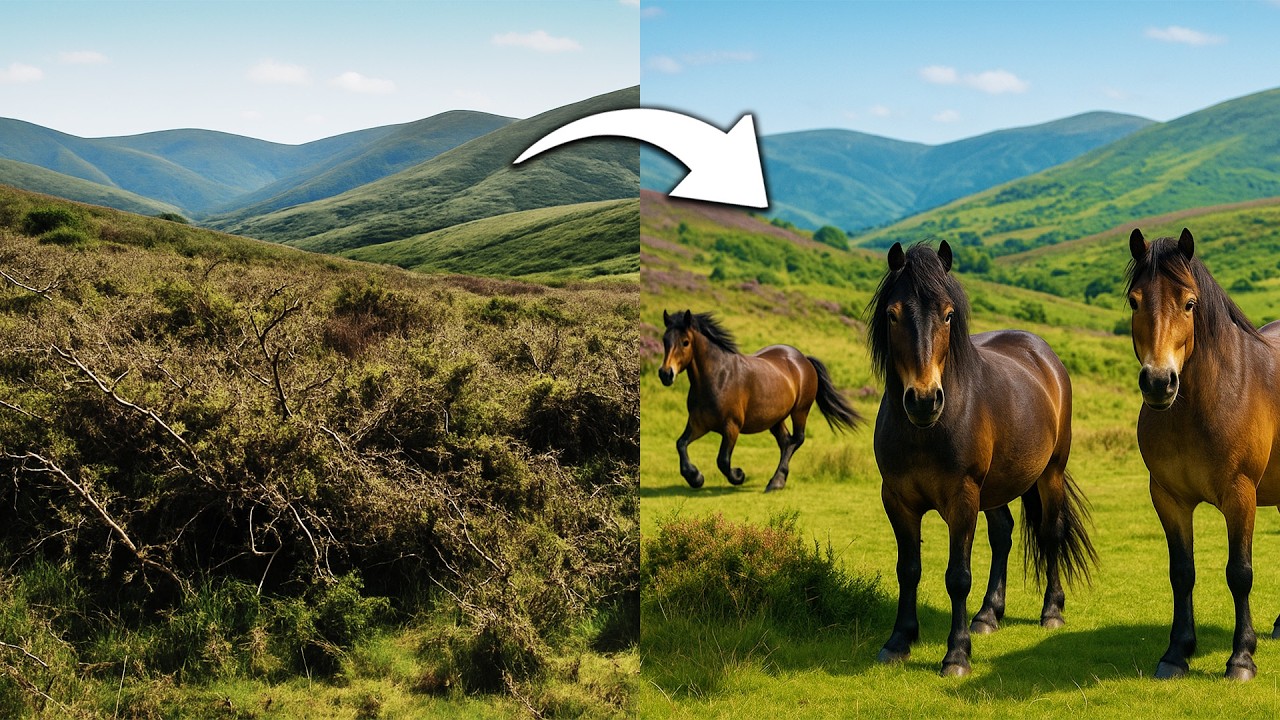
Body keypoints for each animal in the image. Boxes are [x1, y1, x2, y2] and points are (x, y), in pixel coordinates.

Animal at [658, 309, 862, 492]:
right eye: (665, 340)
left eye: (685, 342)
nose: (665, 374)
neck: (718, 378)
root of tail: (804, 359)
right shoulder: (699, 424)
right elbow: (681, 444)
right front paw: (696, 478)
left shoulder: (731, 427)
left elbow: (723, 460)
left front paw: (738, 475)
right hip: (776, 418)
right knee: (786, 442)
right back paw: (778, 480)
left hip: (800, 411)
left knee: (797, 440)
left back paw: (775, 482)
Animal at [868, 241, 1096, 677]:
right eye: (892, 314)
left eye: (948, 314)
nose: (924, 400)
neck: (926, 431)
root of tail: (1042, 353)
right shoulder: (897, 500)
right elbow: (908, 569)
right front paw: (899, 640)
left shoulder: (963, 499)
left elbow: (958, 576)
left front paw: (957, 654)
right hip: (996, 488)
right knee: (1003, 534)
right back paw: (989, 614)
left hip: (1050, 474)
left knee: (1051, 533)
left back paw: (1051, 611)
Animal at [1126, 228, 1280, 681]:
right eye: (1134, 301)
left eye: (1189, 304)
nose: (1159, 382)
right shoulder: (1168, 498)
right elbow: (1182, 572)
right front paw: (1177, 651)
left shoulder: (1240, 496)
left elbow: (1239, 573)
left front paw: (1241, 657)